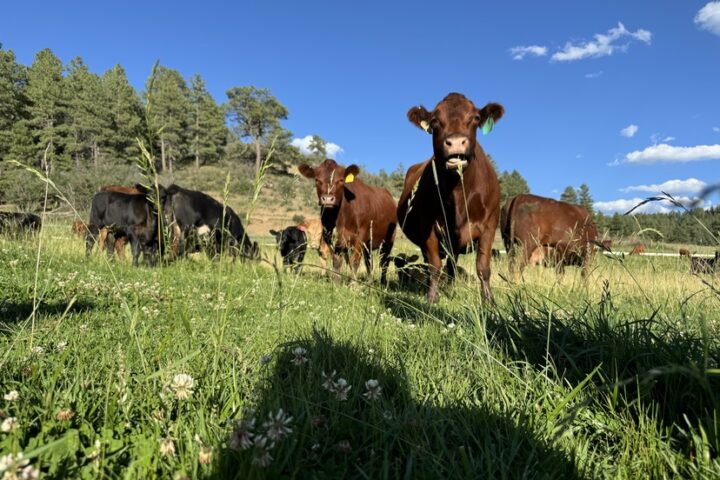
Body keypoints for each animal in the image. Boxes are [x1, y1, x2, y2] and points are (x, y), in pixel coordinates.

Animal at [396, 93, 504, 304]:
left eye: (475, 118)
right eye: (434, 121)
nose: (455, 142)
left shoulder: (489, 226)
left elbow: (483, 267)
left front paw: (489, 301)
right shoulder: (428, 226)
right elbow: (434, 266)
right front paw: (431, 298)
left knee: (453, 265)